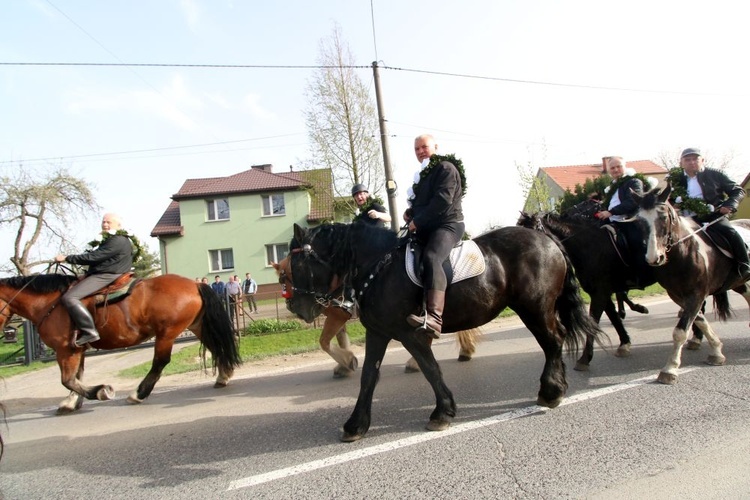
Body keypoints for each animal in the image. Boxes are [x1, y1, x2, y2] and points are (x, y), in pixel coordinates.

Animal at [0, 274, 241, 414]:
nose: (7, 332)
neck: (49, 303)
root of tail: (195, 283)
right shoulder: (76, 350)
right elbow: (76, 377)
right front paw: (72, 402)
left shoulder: (65, 349)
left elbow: (68, 379)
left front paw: (99, 392)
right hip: (197, 326)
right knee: (215, 347)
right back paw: (223, 375)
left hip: (166, 334)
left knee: (160, 362)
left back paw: (138, 394)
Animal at [274, 256, 478, 376]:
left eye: (285, 278)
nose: (292, 307)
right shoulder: (338, 314)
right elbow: (340, 338)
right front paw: (345, 365)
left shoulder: (338, 315)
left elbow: (324, 341)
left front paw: (347, 361)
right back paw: (464, 350)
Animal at [516, 200, 656, 372]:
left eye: (530, 234)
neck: (589, 245)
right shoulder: (602, 293)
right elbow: (613, 318)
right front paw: (624, 343)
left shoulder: (600, 294)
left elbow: (594, 321)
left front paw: (584, 358)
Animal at [636, 186, 750, 384]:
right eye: (640, 221)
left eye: (663, 217)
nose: (654, 258)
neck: (684, 252)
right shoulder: (678, 295)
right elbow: (699, 320)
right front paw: (716, 351)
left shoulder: (696, 294)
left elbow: (680, 331)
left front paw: (670, 369)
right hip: (739, 282)